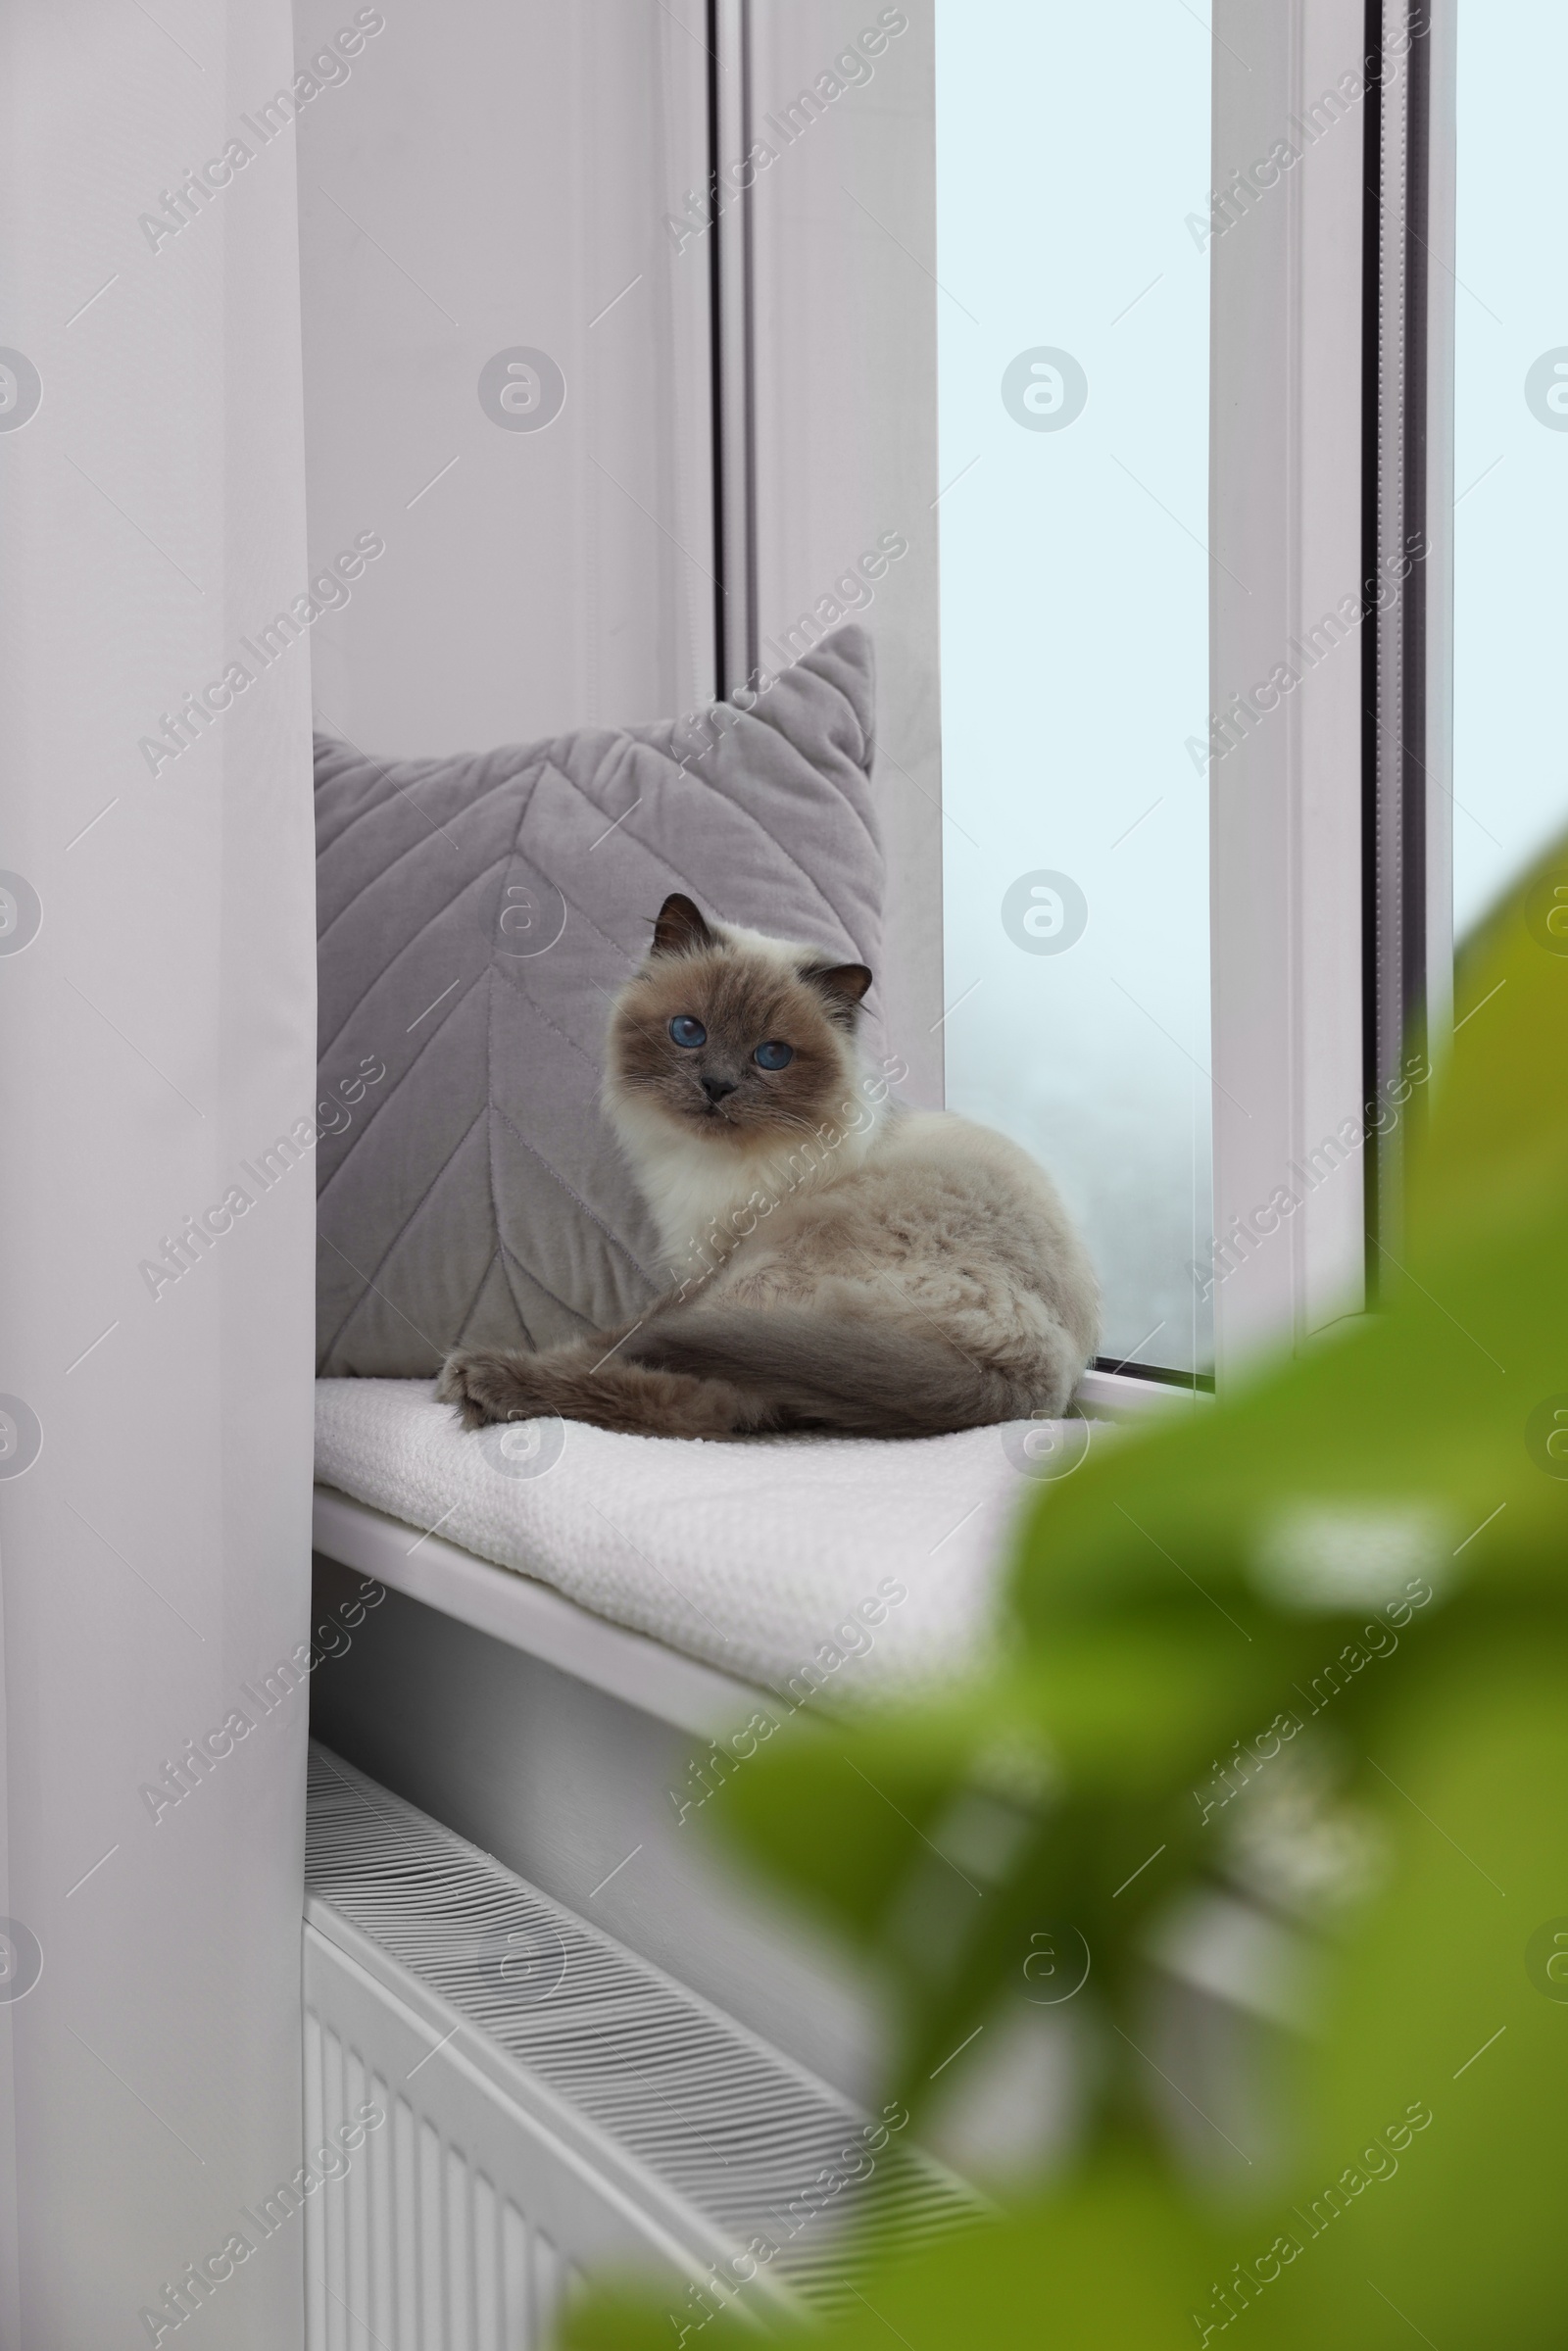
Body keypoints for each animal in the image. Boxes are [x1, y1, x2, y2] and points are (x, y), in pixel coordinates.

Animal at [434, 888, 1100, 1439]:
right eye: (688, 1031)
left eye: (772, 1056)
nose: (716, 1087)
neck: (716, 1162)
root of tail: (1034, 1382)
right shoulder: (695, 1272)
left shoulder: (709, 1269)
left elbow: (620, 1339)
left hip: (769, 1272)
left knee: (696, 1404)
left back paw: (484, 1381)